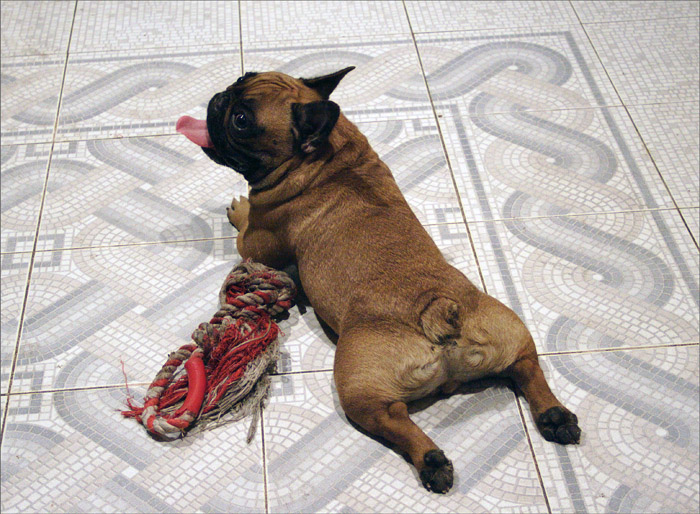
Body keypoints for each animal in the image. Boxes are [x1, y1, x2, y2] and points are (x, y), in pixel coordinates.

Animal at [176, 67, 581, 494]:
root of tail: (436, 311)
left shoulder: (260, 242)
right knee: (526, 366)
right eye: (244, 76)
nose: (220, 97)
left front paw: (239, 209)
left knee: (393, 417)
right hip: (508, 328)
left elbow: (245, 232)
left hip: (357, 383)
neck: (326, 158)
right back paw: (554, 416)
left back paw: (431, 460)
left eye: (241, 120)